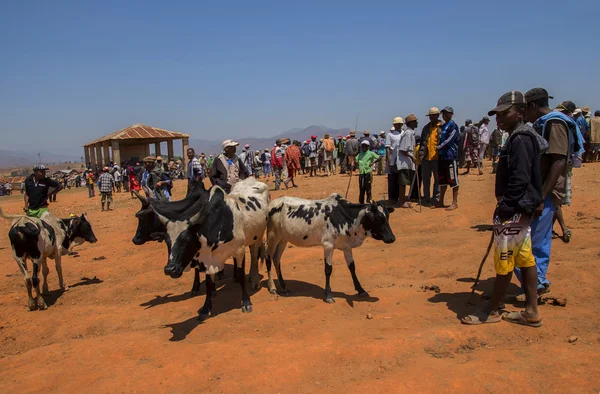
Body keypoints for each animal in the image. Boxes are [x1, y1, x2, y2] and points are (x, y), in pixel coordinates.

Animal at [152, 177, 270, 318]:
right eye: (166, 241)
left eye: (186, 239)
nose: (170, 269)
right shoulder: (207, 259)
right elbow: (209, 284)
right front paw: (205, 308)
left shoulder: (239, 251)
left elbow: (241, 276)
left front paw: (246, 302)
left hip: (259, 235)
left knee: (254, 256)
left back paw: (255, 279)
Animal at [266, 195, 394, 304]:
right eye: (378, 218)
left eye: (387, 216)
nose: (392, 238)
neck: (346, 217)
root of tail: (272, 203)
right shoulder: (328, 245)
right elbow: (328, 269)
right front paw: (328, 295)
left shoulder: (347, 247)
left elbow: (352, 267)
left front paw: (361, 290)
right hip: (272, 236)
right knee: (268, 258)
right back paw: (272, 287)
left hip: (283, 239)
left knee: (276, 259)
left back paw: (283, 287)